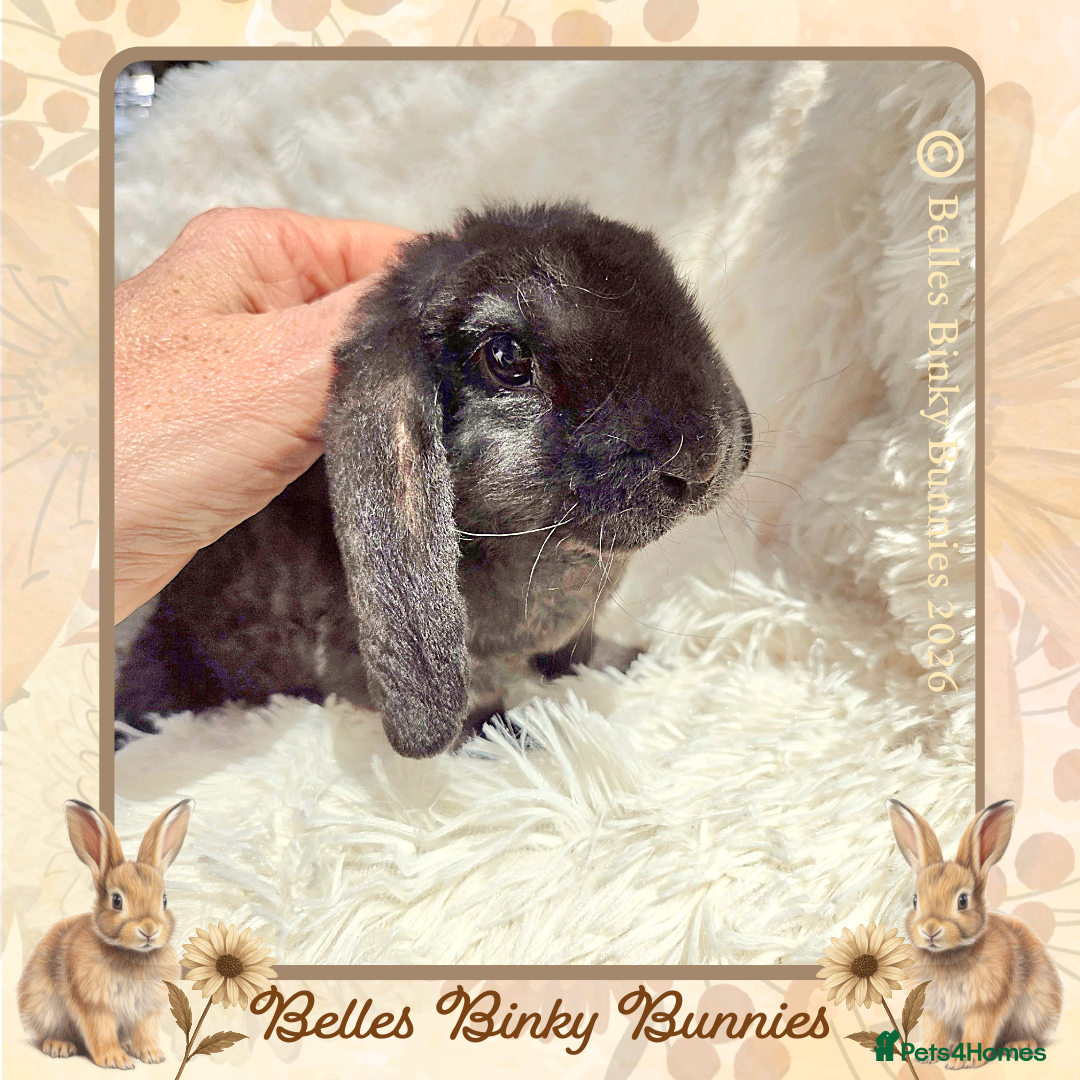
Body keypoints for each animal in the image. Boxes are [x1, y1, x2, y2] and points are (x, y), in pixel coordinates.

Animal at [17, 799, 194, 1069]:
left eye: (164, 900)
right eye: (117, 901)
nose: (149, 930)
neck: (131, 954)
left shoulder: (145, 1010)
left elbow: (145, 1031)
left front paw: (152, 1055)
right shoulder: (95, 1005)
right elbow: (101, 1031)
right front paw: (116, 1060)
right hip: (45, 1008)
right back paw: (59, 1046)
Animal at [115, 201, 753, 759]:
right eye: (506, 357)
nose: (702, 459)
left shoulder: (577, 627)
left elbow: (576, 651)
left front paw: (631, 661)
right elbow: (480, 703)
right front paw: (517, 743)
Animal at [886, 798, 1063, 1067]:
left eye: (962, 901)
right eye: (915, 900)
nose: (930, 930)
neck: (949, 955)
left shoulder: (984, 1005)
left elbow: (978, 1031)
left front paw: (963, 1061)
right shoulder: (935, 1010)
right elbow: (934, 1031)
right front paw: (927, 1055)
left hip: (1034, 1009)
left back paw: (1019, 1045)